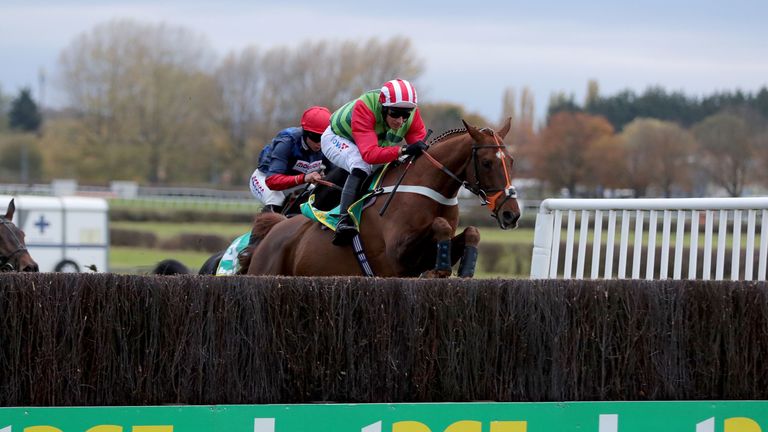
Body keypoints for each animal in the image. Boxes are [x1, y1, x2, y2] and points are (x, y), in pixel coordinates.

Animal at [244, 118, 520, 276]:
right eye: (486, 163)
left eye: (511, 161)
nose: (512, 214)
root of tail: (275, 229)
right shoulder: (398, 255)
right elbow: (439, 226)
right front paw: (442, 267)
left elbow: (472, 232)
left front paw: (465, 267)